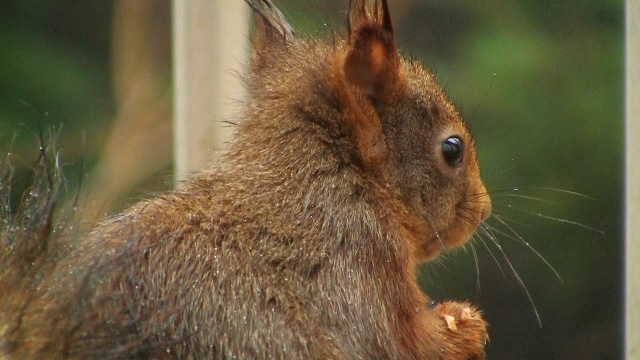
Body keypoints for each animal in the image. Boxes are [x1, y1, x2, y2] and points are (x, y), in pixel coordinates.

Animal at [0, 1, 492, 358]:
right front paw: (463, 324)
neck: (328, 178)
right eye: (452, 149)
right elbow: (408, 344)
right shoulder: (358, 273)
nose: (483, 210)